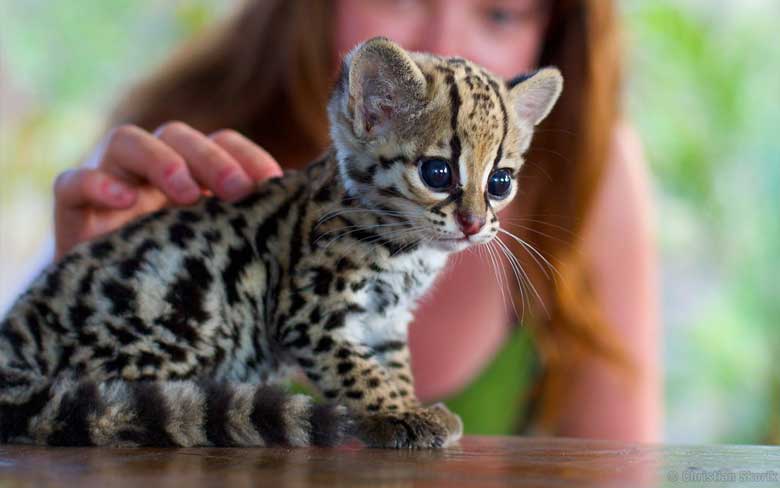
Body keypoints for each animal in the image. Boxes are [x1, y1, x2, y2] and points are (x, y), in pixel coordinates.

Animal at [0, 38, 560, 450]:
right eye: (438, 173)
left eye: (501, 182)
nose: (473, 224)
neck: (409, 252)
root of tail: (15, 338)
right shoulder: (309, 313)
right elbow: (357, 370)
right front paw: (394, 413)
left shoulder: (386, 321)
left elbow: (393, 364)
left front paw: (407, 403)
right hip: (186, 315)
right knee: (108, 397)